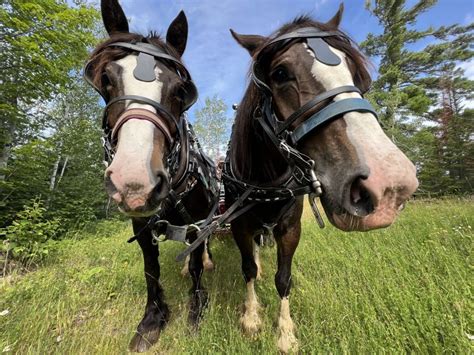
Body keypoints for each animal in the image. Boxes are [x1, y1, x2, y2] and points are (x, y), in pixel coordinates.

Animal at [84, 0, 218, 354]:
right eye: (105, 79)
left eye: (182, 91)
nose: (134, 182)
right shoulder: (142, 229)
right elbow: (151, 270)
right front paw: (152, 319)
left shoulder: (197, 222)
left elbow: (196, 261)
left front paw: (197, 307)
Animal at [224, 4, 416, 354]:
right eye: (280, 73)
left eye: (355, 73)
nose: (390, 185)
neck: (266, 181)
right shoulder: (239, 225)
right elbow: (248, 269)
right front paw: (252, 318)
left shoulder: (290, 228)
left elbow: (283, 278)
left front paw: (285, 332)